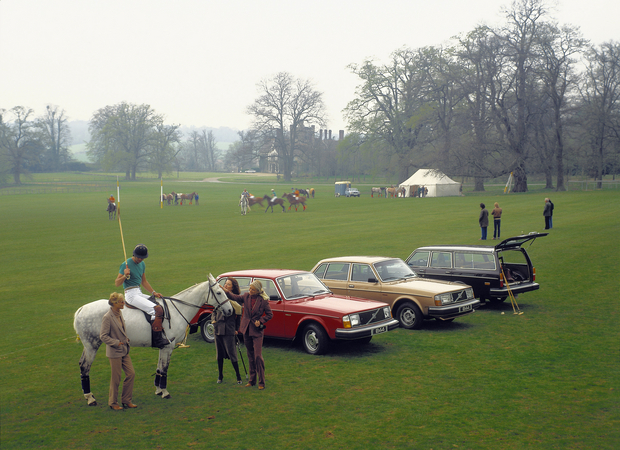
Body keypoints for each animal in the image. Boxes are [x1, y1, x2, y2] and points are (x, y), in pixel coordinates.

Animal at [73, 272, 232, 406]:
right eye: (219, 292)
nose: (230, 310)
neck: (177, 310)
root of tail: (80, 309)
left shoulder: (163, 346)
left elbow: (159, 368)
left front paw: (158, 390)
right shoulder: (168, 346)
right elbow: (164, 368)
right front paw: (165, 392)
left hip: (89, 345)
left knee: (82, 364)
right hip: (92, 345)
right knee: (84, 366)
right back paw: (90, 397)